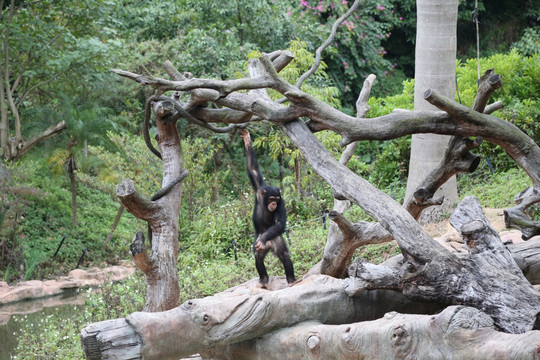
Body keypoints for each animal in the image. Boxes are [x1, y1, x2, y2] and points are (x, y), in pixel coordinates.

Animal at [243, 128, 298, 288]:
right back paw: (264, 279)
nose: (273, 204)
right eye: (271, 199)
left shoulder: (282, 204)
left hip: (276, 239)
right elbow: (253, 169)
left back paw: (291, 280)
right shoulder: (258, 187)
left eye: (277, 200)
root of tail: (269, 244)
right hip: (260, 242)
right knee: (258, 256)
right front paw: (247, 140)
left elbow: (280, 223)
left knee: (284, 255)